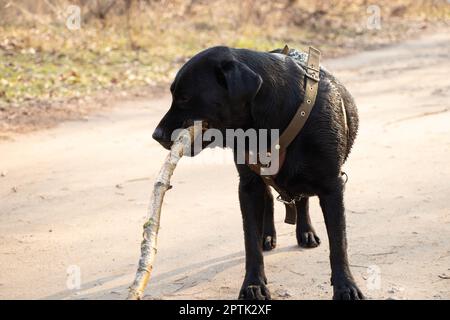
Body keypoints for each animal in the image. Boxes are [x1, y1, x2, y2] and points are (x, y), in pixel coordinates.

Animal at [153, 45, 364, 300]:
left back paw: (305, 232)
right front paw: (253, 284)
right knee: (271, 199)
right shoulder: (248, 186)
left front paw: (346, 286)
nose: (156, 135)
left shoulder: (332, 186)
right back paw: (269, 235)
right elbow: (251, 242)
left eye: (184, 97)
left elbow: (338, 242)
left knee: (300, 199)